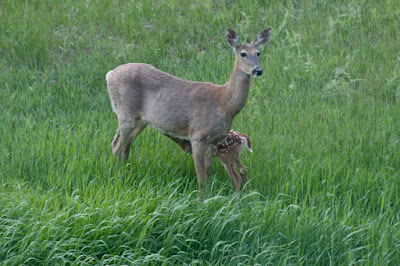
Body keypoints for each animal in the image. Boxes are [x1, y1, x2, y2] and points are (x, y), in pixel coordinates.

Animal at [105, 27, 272, 195]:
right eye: (243, 54)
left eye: (258, 53)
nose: (258, 70)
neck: (224, 104)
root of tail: (110, 74)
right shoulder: (197, 136)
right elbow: (201, 177)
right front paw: (202, 199)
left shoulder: (212, 141)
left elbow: (207, 173)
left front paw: (210, 196)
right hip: (125, 113)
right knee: (116, 145)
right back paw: (118, 177)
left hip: (141, 120)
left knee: (125, 146)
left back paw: (125, 173)